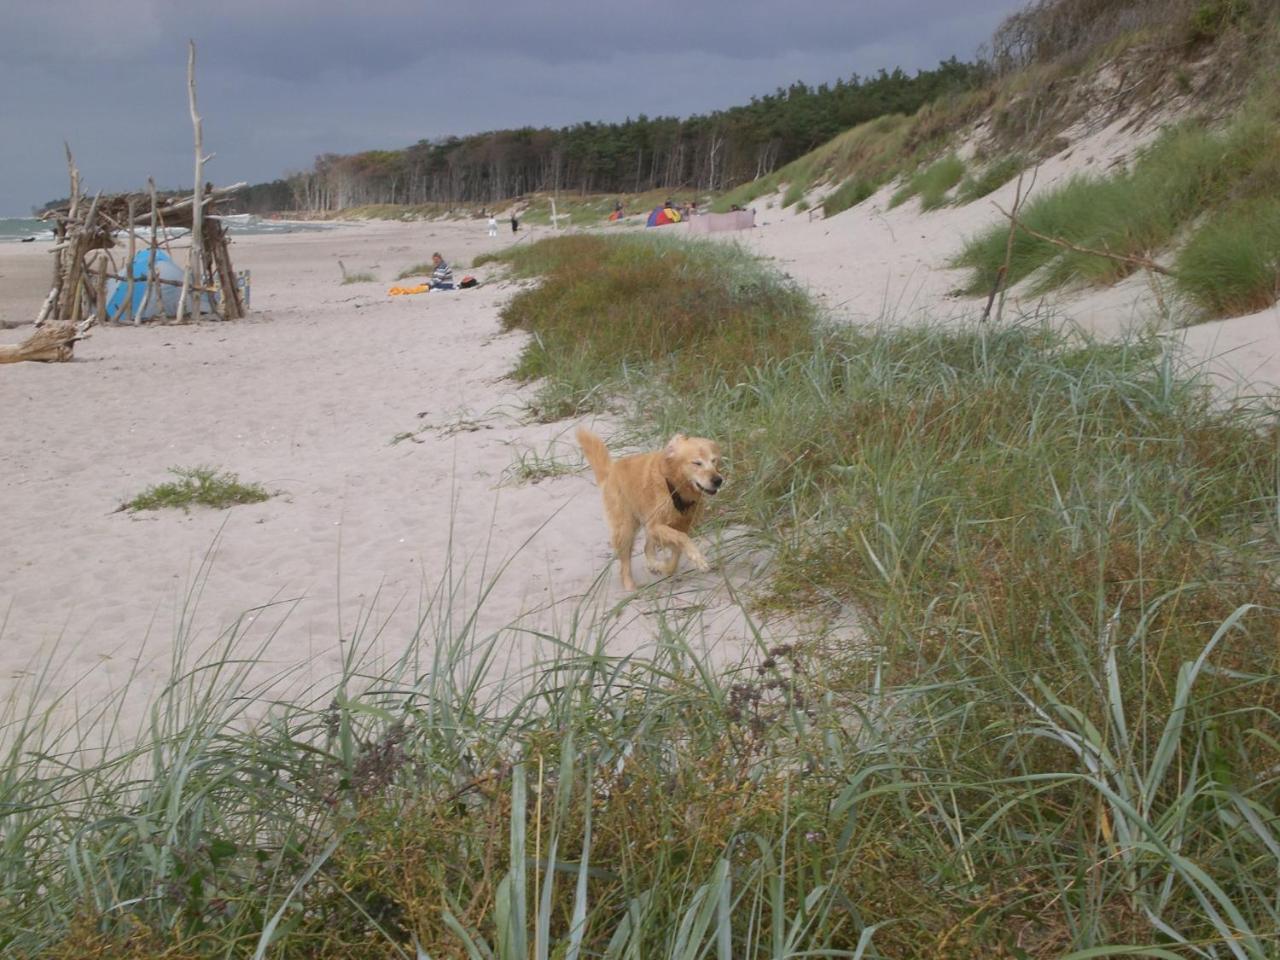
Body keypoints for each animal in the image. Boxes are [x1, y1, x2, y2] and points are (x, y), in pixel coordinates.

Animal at [578, 430, 727, 593]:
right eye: (697, 463)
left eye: (713, 461)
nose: (718, 480)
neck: (675, 487)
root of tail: (611, 470)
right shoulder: (655, 525)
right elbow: (682, 539)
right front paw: (698, 558)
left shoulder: (678, 526)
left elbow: (675, 553)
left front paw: (664, 567)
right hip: (626, 528)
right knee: (625, 565)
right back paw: (631, 587)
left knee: (646, 548)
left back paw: (654, 566)